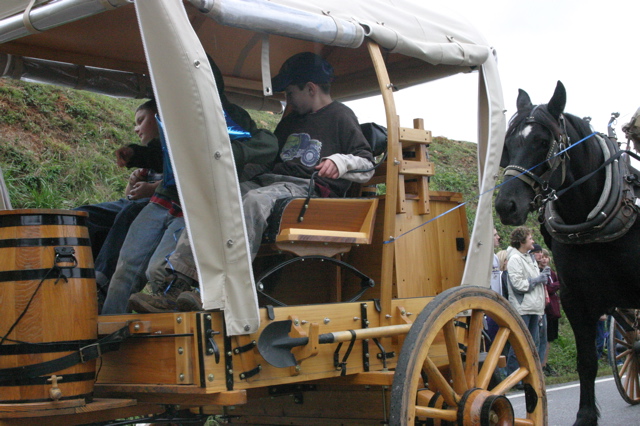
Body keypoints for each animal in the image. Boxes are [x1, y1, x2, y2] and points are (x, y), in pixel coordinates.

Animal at [496, 80, 640, 426]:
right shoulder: (576, 300)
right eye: (509, 143)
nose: (506, 205)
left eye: (542, 141)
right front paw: (585, 416)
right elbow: (586, 361)